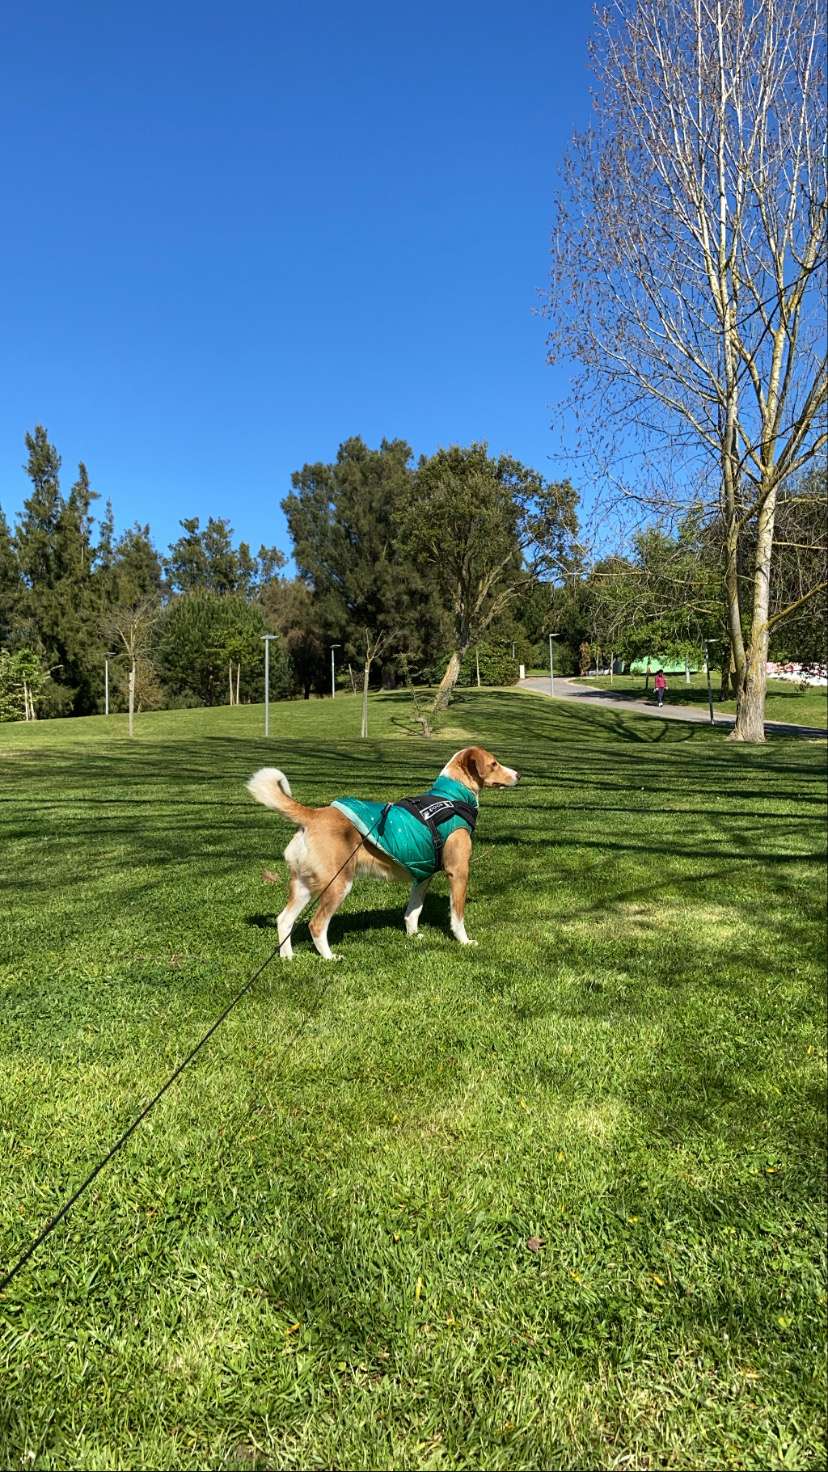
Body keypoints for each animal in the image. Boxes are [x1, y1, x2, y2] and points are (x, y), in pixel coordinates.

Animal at [243, 741, 515, 959]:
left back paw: (288, 958)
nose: (518, 774)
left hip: (303, 885)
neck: (452, 796)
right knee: (316, 925)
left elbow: (412, 912)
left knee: (284, 920)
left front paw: (413, 936)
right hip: (337, 884)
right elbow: (457, 916)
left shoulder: (422, 875)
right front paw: (465, 942)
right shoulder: (458, 871)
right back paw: (329, 957)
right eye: (494, 763)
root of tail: (313, 815)